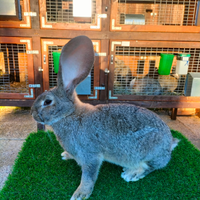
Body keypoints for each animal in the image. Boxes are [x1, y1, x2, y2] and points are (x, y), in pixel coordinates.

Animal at [31, 36, 180, 200]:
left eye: (47, 102)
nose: (32, 113)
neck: (70, 114)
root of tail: (170, 143)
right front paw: (66, 155)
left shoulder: (90, 155)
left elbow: (88, 176)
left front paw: (80, 194)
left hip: (148, 151)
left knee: (151, 166)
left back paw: (131, 174)